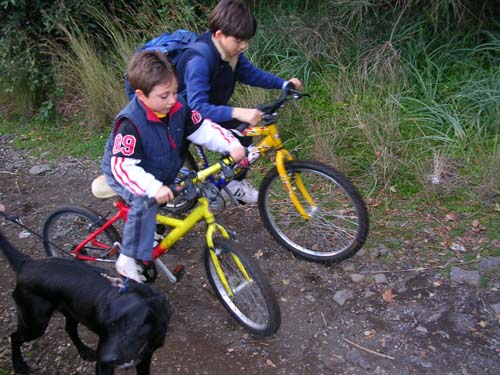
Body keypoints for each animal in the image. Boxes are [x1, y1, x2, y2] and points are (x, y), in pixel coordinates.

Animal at [0, 231, 170, 374]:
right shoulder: (104, 366)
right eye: (110, 325)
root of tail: (27, 263)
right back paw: (19, 365)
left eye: (133, 327)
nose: (106, 358)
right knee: (14, 337)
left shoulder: (146, 356)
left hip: (71, 311)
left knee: (69, 329)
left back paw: (84, 351)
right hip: (35, 324)